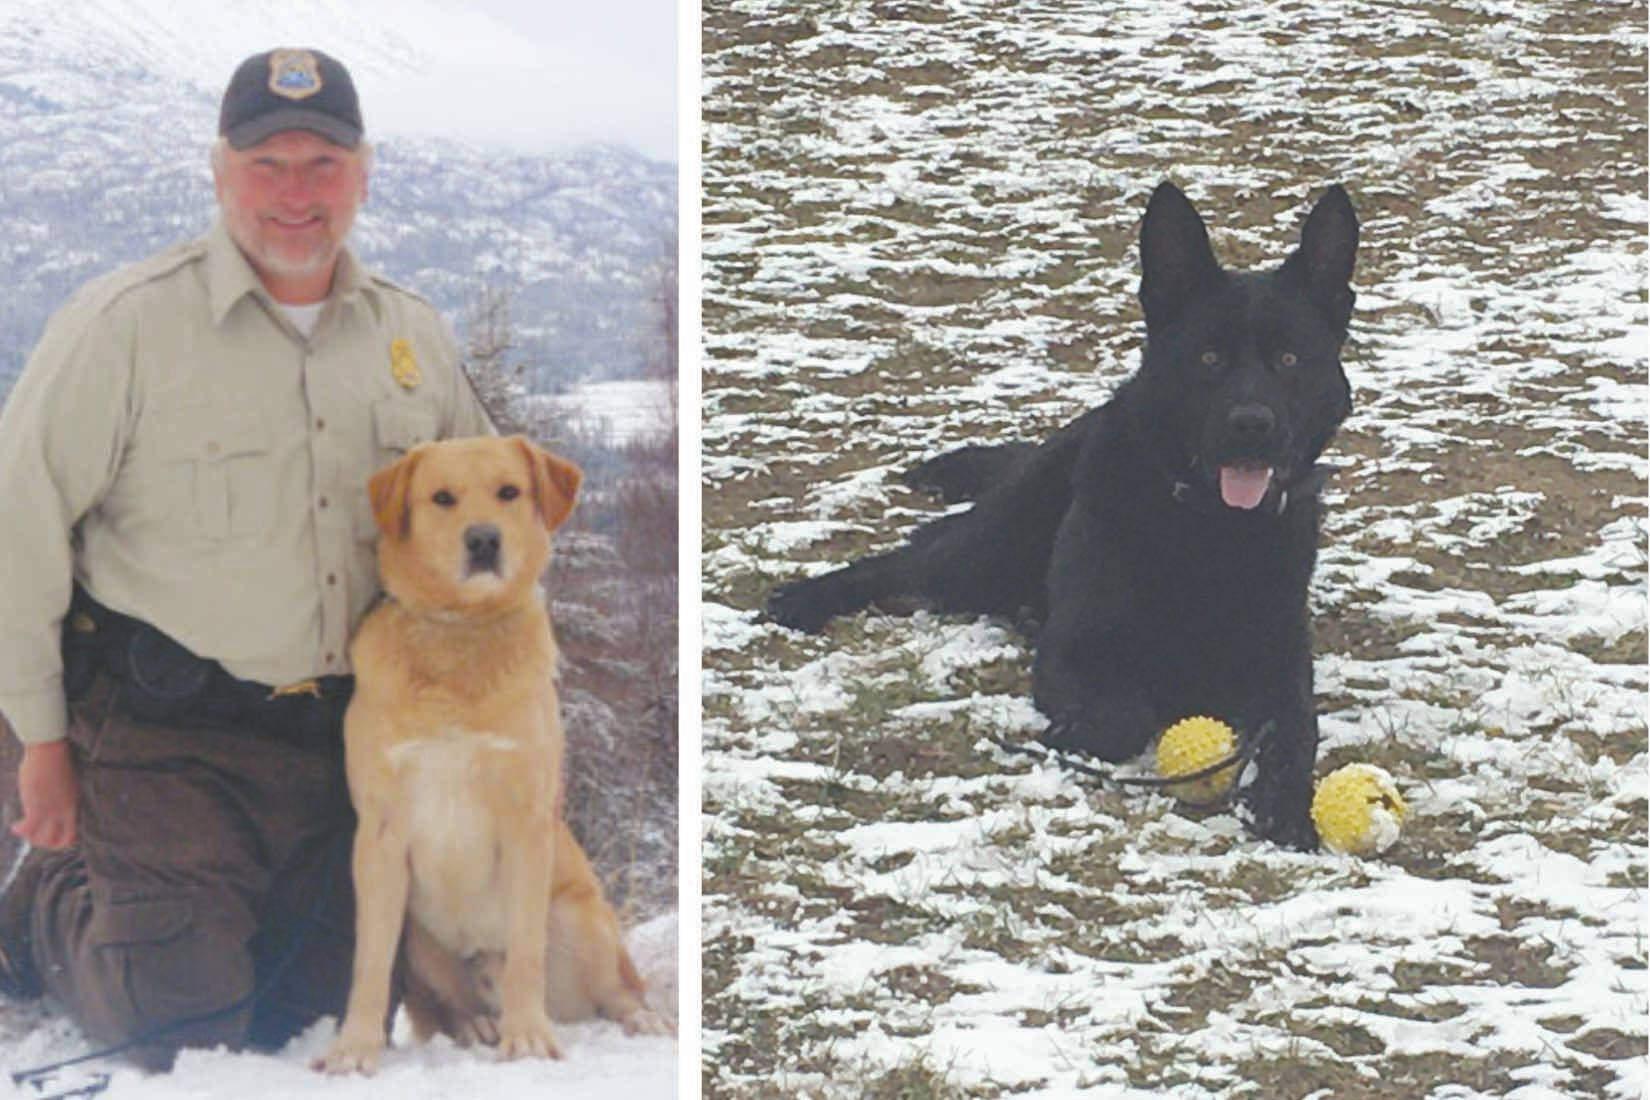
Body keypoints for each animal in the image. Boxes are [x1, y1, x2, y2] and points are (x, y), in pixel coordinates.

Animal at [316, 435, 663, 1075]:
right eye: (441, 498)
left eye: (508, 491)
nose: (483, 540)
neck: (459, 634)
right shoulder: (379, 833)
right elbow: (368, 962)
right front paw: (354, 1047)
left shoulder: (525, 821)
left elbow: (524, 952)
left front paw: (528, 1040)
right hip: (422, 940)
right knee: (445, 1006)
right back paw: (474, 1025)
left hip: (578, 918)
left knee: (614, 991)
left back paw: (637, 1018)